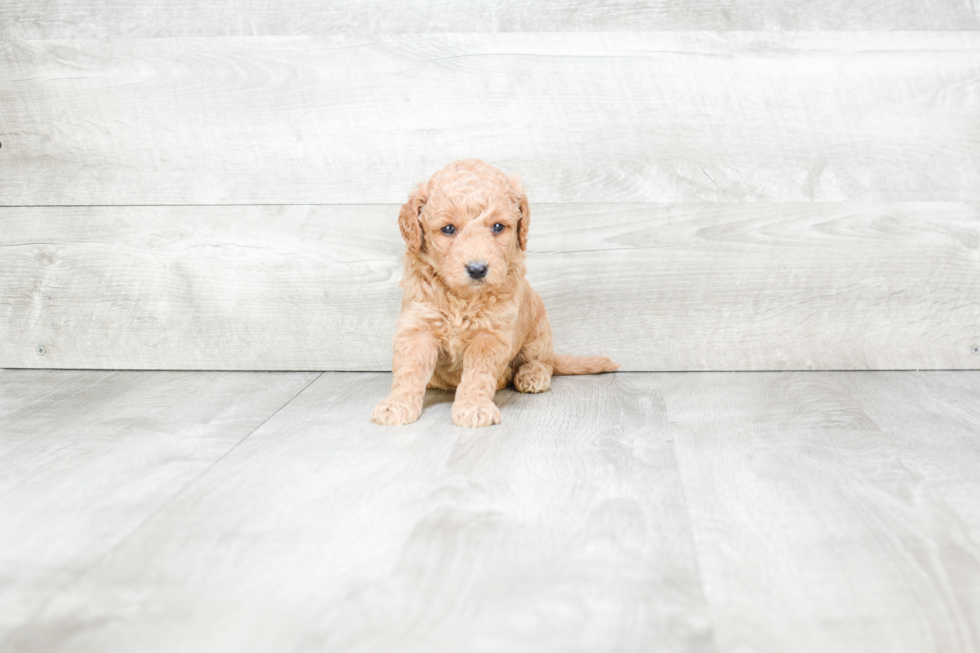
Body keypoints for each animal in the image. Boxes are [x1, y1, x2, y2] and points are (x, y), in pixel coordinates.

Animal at [372, 155, 616, 426]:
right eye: (448, 229)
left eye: (498, 227)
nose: (477, 269)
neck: (462, 298)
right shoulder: (418, 325)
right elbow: (409, 370)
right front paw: (397, 404)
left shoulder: (489, 335)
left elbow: (478, 375)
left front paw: (474, 406)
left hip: (539, 329)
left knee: (542, 361)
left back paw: (531, 375)